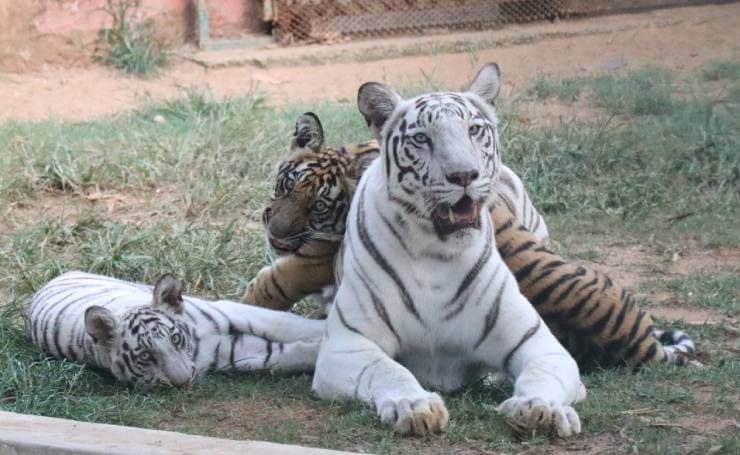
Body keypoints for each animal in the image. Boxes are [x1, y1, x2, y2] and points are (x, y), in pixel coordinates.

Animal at [27, 270, 322, 388]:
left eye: (176, 339)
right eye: (145, 357)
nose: (183, 382)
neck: (199, 345)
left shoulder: (231, 311)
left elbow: (285, 324)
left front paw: (324, 331)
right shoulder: (228, 352)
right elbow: (281, 355)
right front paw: (319, 353)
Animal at [310, 64, 588, 438]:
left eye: (474, 130)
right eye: (421, 138)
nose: (464, 174)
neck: (436, 251)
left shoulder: (539, 344)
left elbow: (543, 374)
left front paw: (539, 408)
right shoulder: (347, 344)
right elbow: (388, 370)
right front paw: (414, 405)